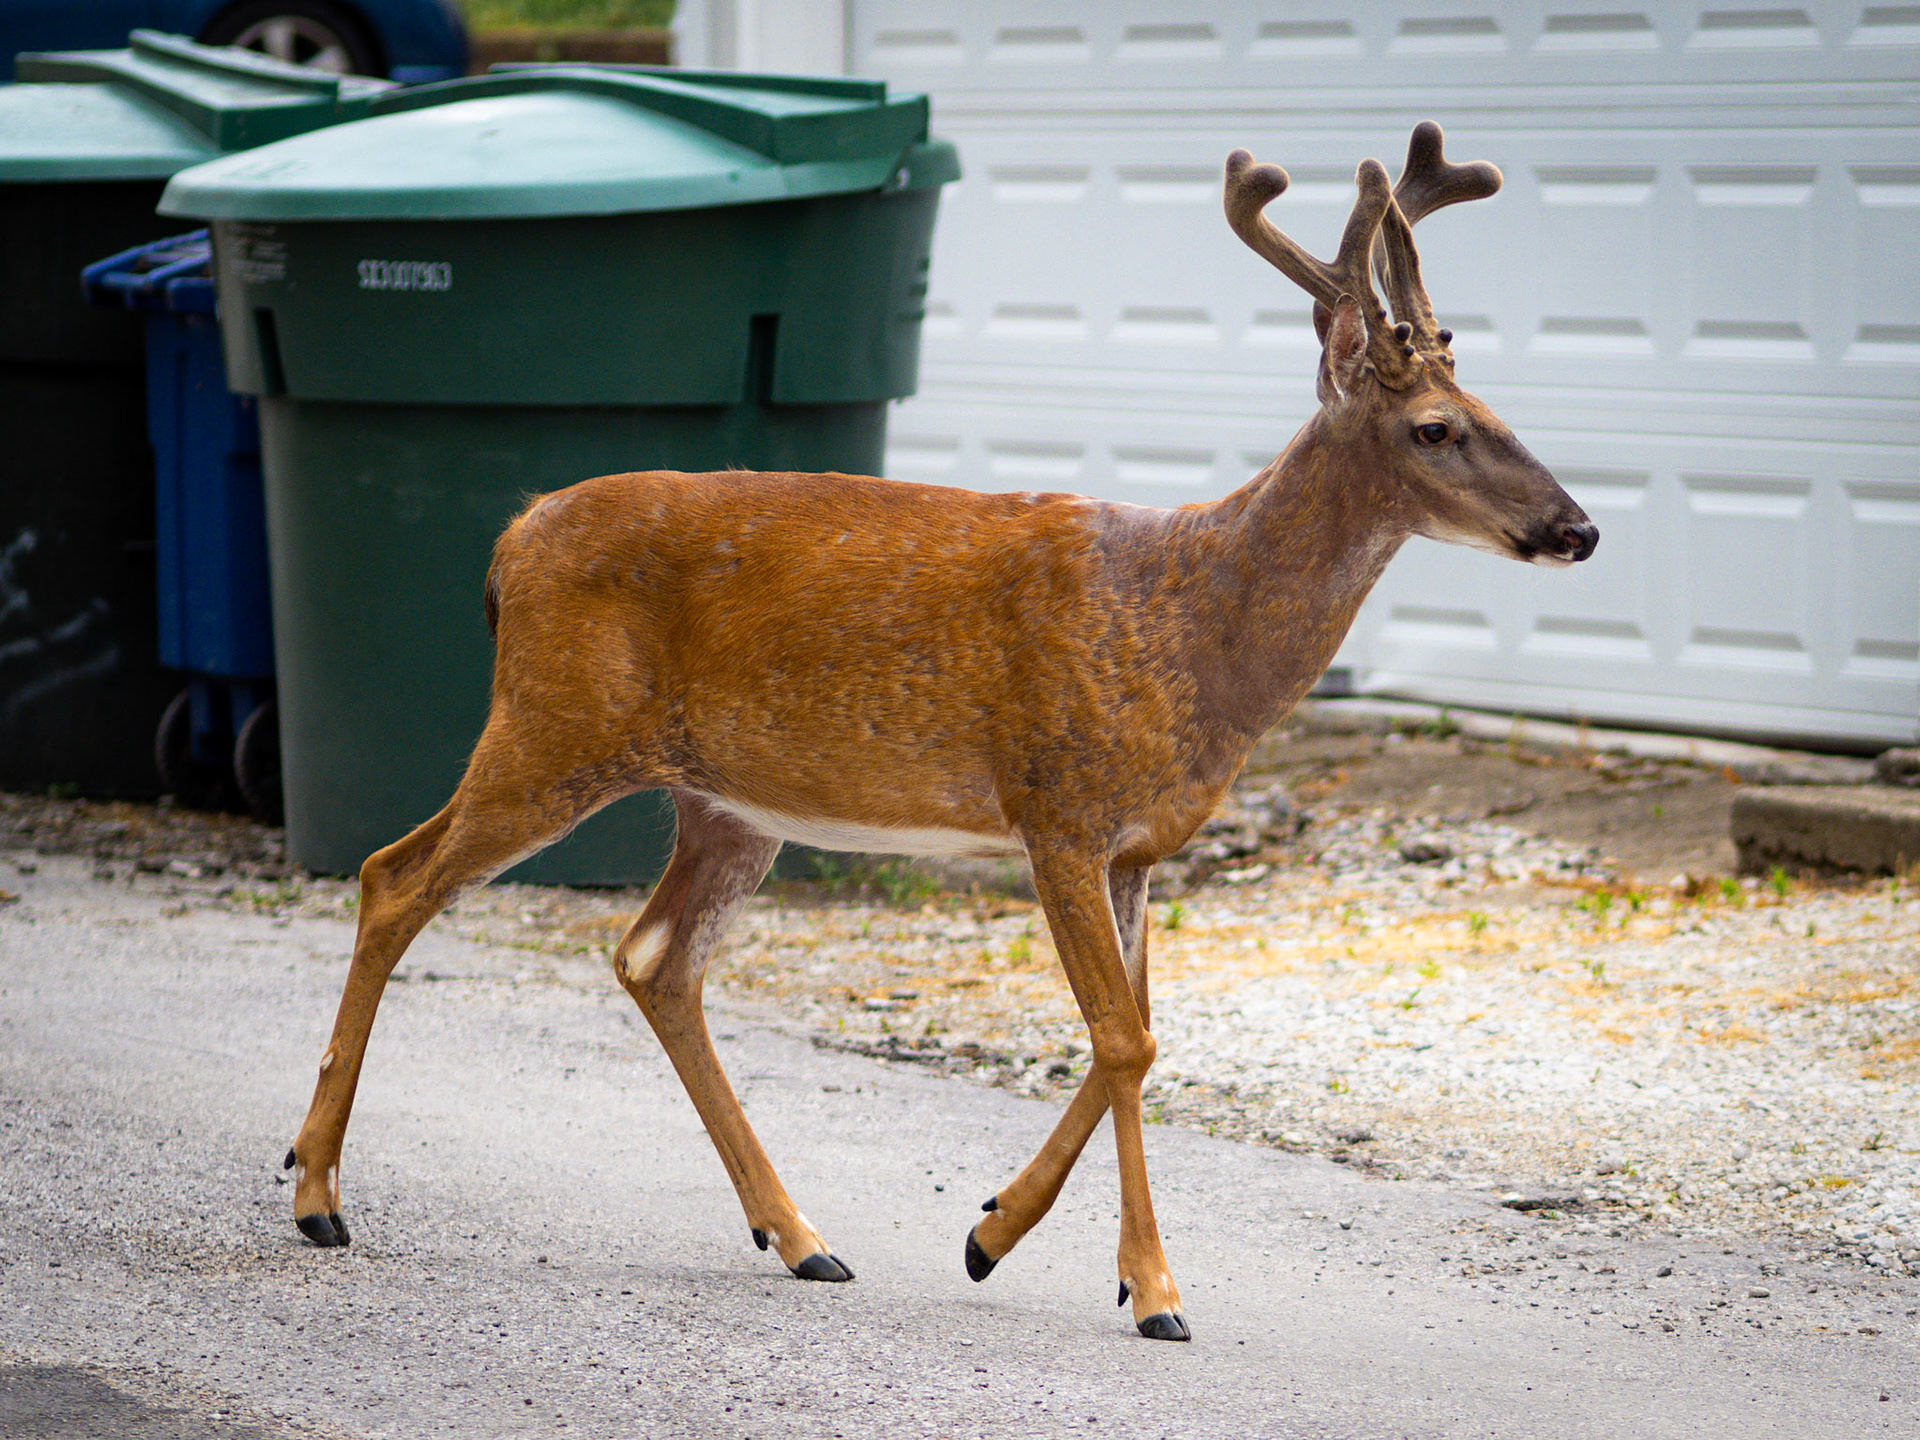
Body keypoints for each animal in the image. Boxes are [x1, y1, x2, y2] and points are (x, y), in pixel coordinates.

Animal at [280, 121, 1596, 1343]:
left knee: (655, 958)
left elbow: (1139, 1033)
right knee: (394, 876)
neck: (1193, 629)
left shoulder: (1137, 848)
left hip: (720, 799)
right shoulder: (1056, 804)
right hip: (553, 728)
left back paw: (799, 1234)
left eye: (1496, 407)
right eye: (1435, 428)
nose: (1578, 527)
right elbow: (1123, 1039)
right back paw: (317, 1193)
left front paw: (1010, 1238)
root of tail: (511, 540)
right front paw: (1136, 1285)